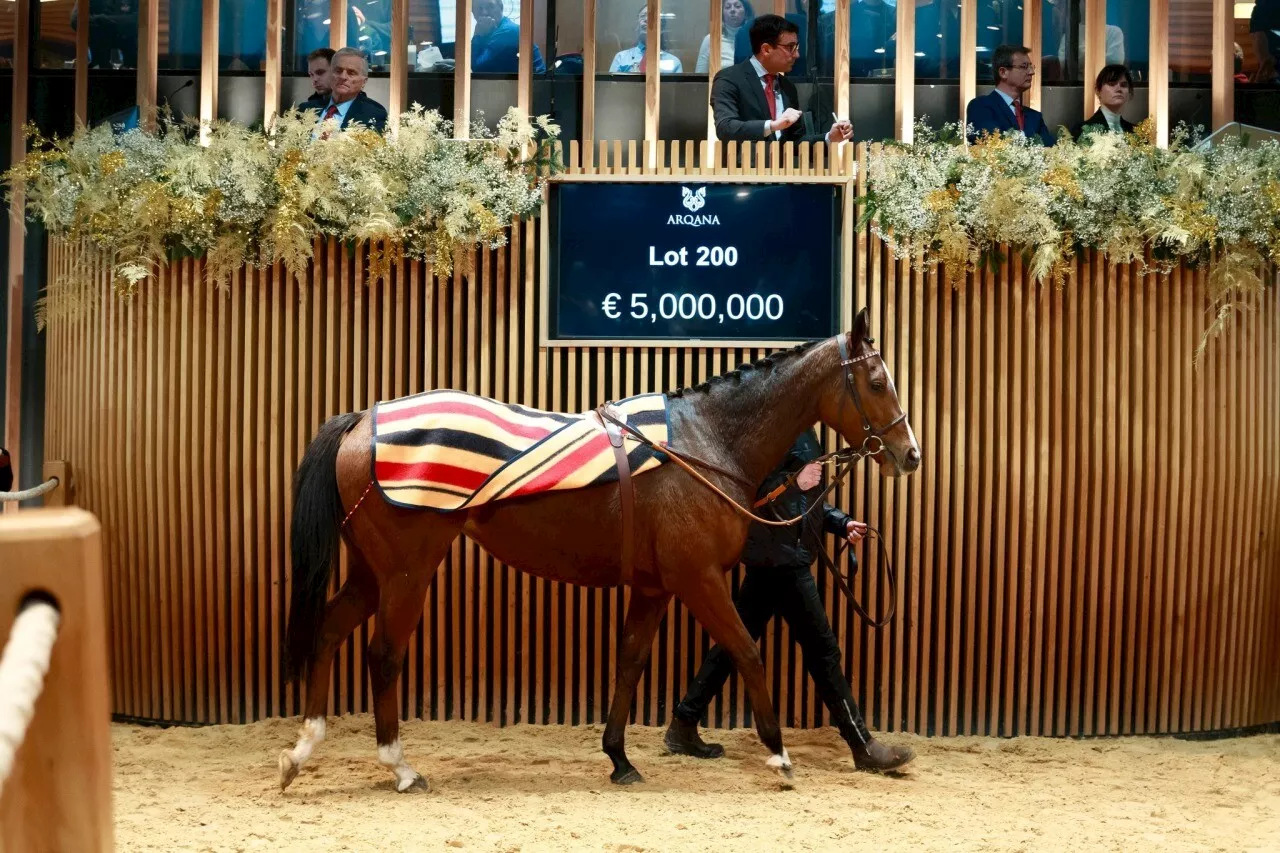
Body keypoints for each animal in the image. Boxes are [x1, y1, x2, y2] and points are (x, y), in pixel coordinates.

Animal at [280, 306, 921, 788]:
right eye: (878, 381)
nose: (910, 453)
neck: (704, 442)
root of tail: (364, 419)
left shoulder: (655, 586)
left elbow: (630, 662)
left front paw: (619, 758)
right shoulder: (698, 578)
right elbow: (746, 651)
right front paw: (779, 756)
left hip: (371, 571)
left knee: (330, 630)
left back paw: (302, 749)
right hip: (407, 573)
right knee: (383, 655)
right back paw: (400, 768)